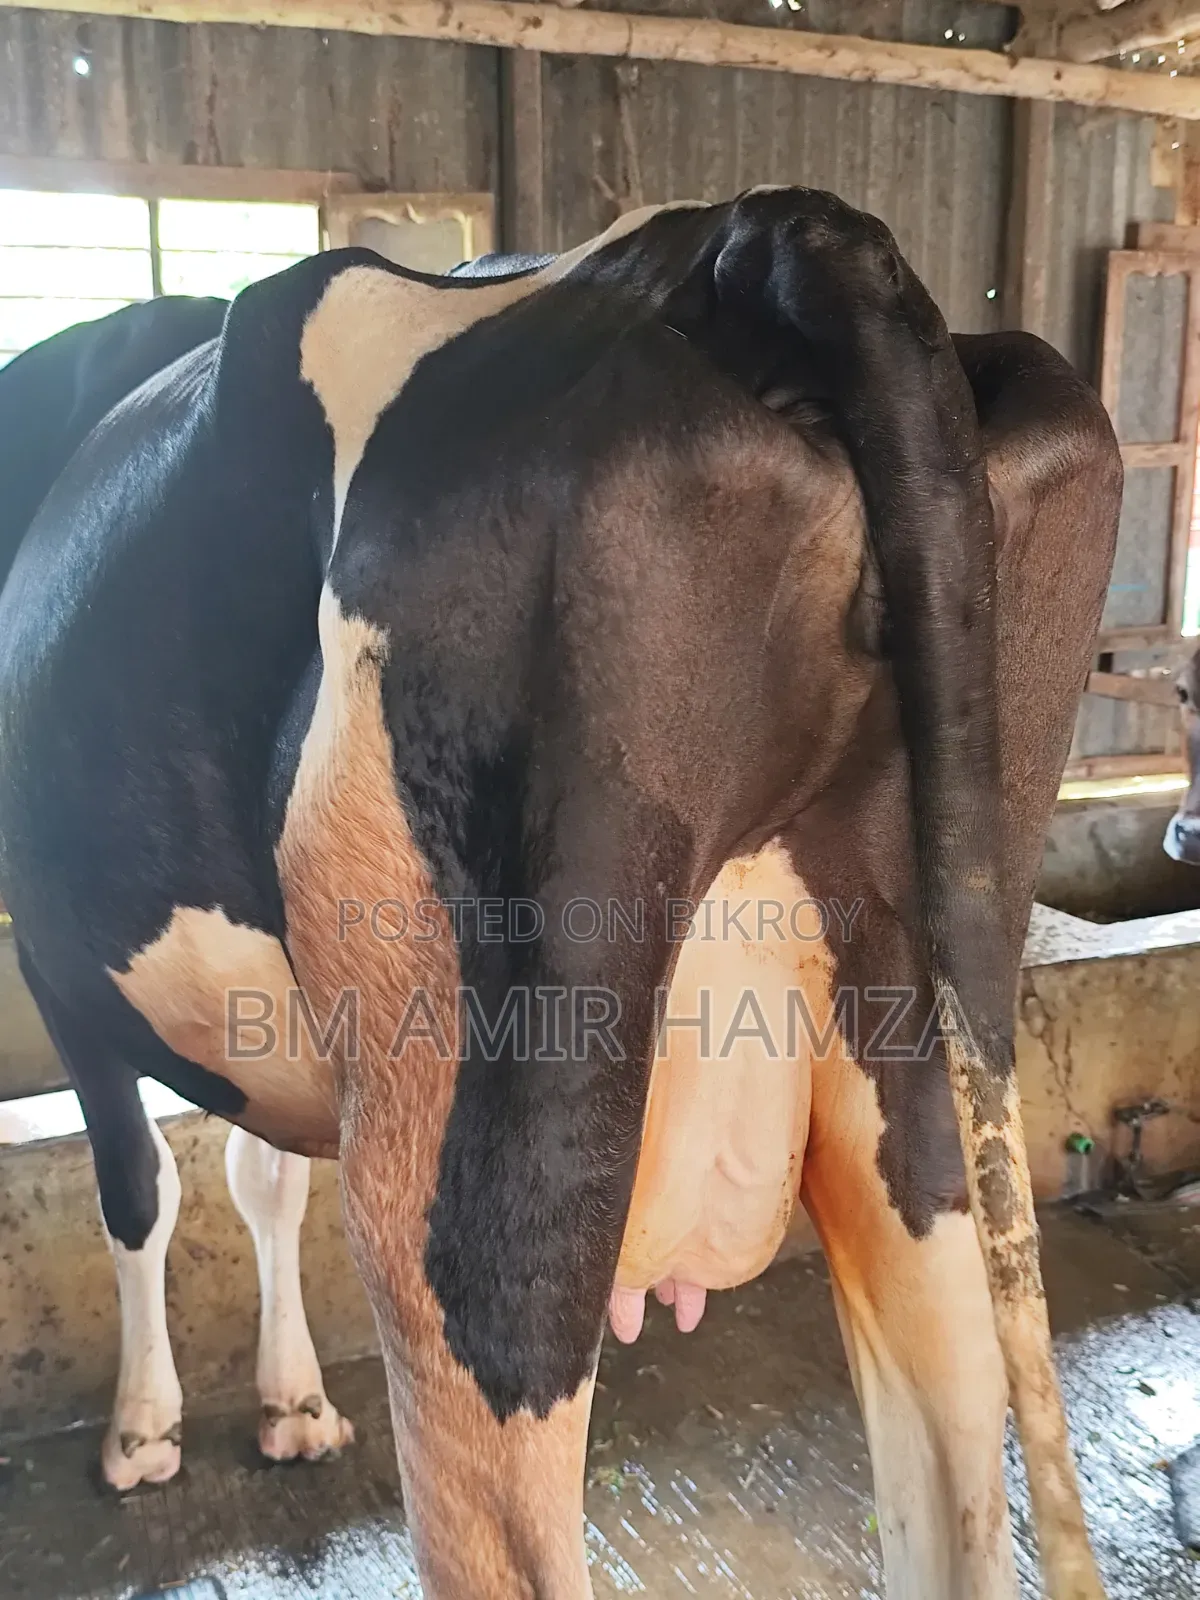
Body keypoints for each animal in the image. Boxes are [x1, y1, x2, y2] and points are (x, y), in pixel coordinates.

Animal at [0, 188, 1121, 1600]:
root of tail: (760, 237)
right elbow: (259, 1173)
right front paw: (293, 1402)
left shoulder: (54, 961)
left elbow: (141, 1187)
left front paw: (148, 1428)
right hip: (925, 1054)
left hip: (473, 1157)